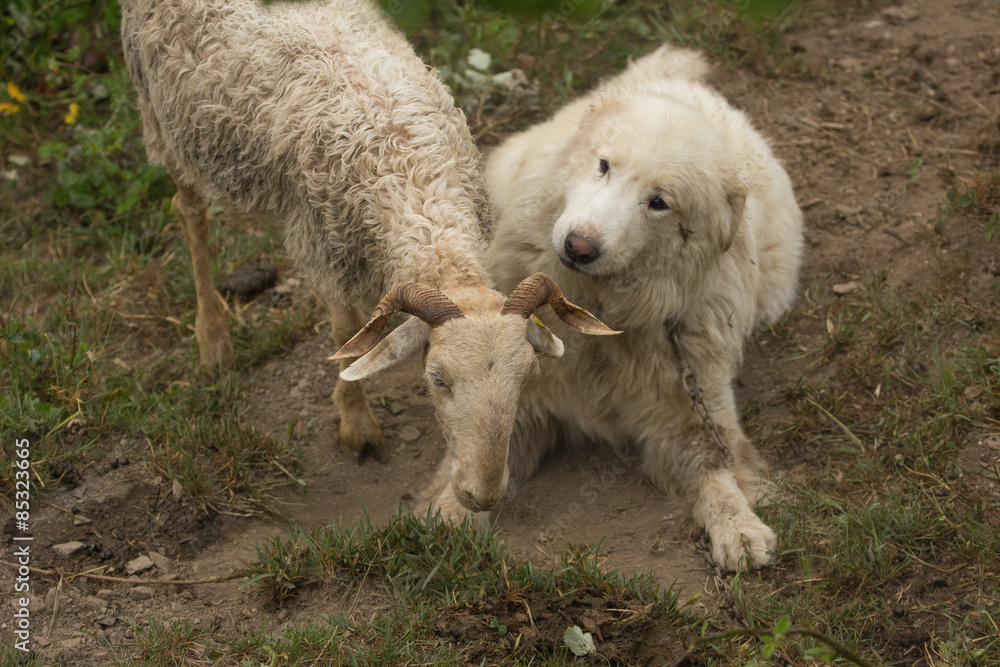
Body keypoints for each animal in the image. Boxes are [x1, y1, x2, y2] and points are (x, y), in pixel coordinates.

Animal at [119, 0, 618, 512]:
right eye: (436, 378)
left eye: (528, 375)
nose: (481, 496)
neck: (409, 173)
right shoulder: (325, 249)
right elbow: (346, 333)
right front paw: (356, 426)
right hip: (162, 114)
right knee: (189, 212)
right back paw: (213, 340)